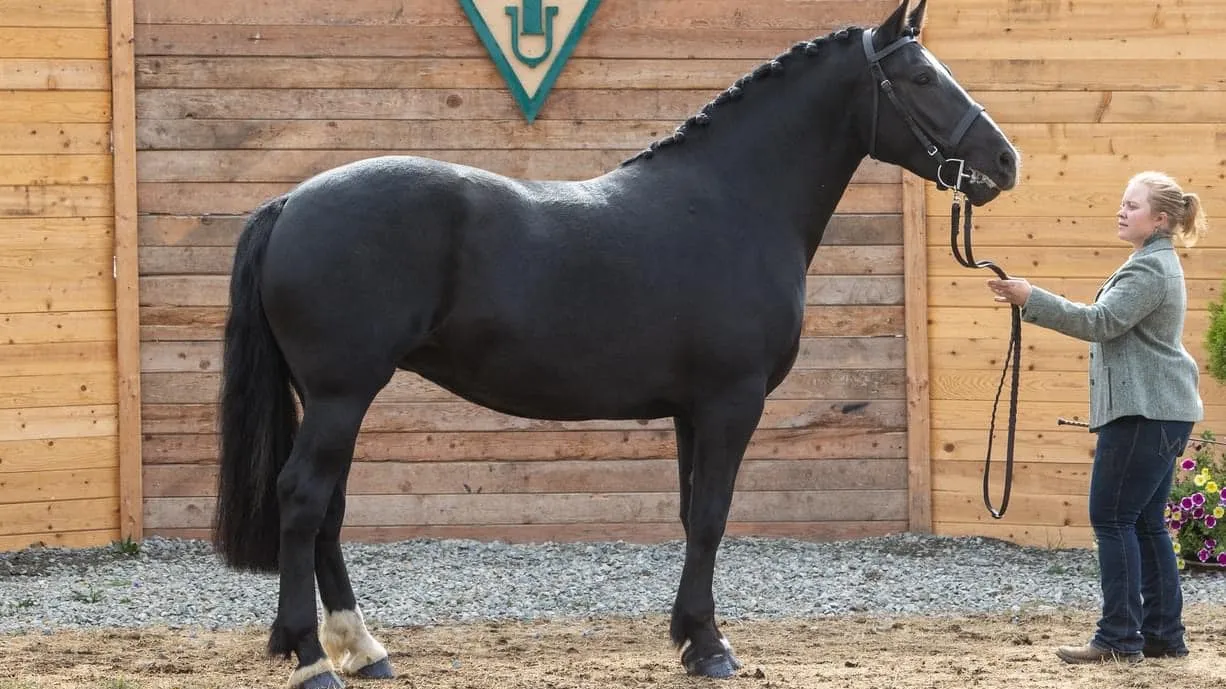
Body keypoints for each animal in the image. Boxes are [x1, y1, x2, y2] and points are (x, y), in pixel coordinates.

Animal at [212, 1, 1018, 686]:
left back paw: (363, 648)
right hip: (342, 393)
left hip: (331, 397)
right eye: (922, 77)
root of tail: (291, 202)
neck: (734, 202)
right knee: (303, 498)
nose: (1005, 162)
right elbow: (713, 516)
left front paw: (692, 637)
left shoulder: (693, 409)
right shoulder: (730, 402)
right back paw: (310, 655)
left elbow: (693, 515)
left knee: (327, 508)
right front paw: (712, 646)